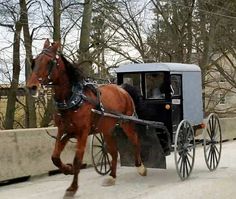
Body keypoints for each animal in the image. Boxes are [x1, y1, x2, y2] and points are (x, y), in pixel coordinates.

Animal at [26, 38, 147, 196]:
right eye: (34, 61)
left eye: (49, 62)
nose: (31, 87)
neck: (73, 99)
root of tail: (122, 88)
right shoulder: (64, 131)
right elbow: (55, 157)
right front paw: (68, 169)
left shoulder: (82, 132)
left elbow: (77, 160)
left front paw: (72, 187)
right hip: (107, 129)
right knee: (114, 151)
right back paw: (112, 176)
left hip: (127, 122)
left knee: (135, 141)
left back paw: (140, 167)